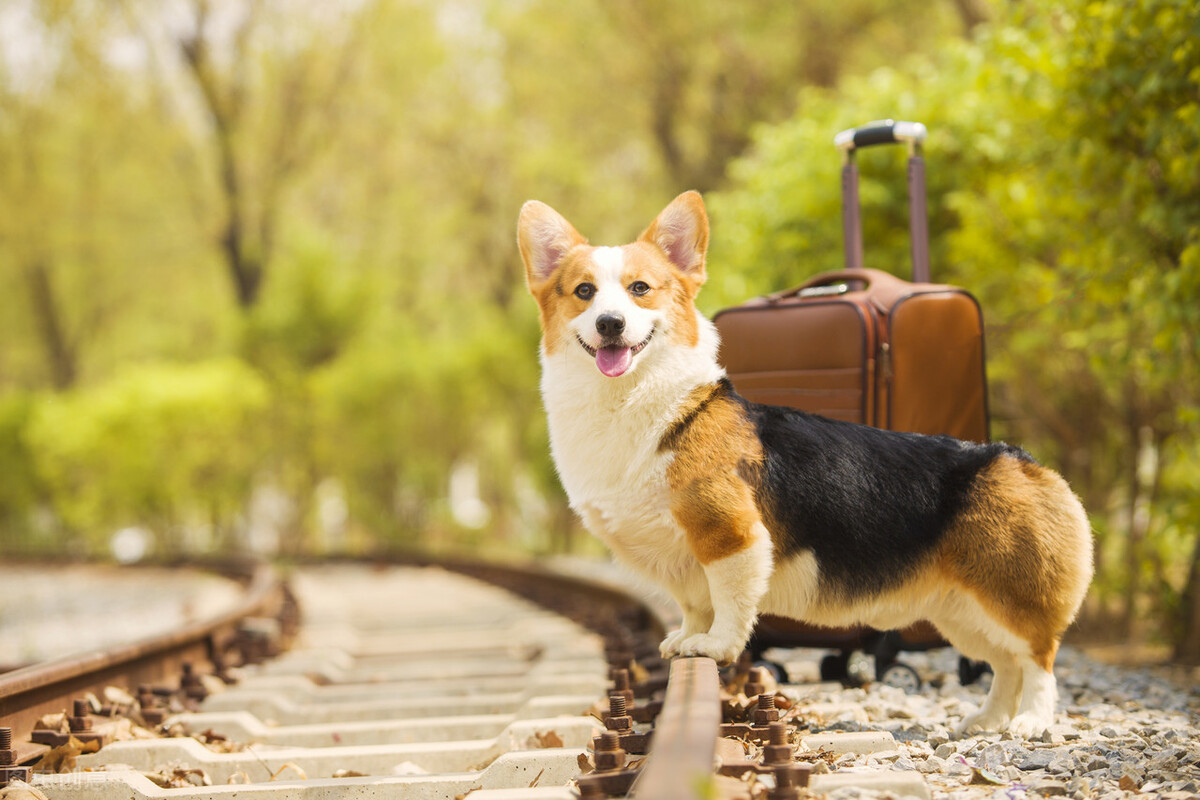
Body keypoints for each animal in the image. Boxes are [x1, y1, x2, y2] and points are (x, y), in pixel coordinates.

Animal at [518, 190, 1099, 734]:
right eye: (584, 292)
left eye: (640, 288)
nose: (610, 324)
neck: (633, 402)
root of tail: (1023, 461)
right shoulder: (686, 562)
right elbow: (695, 604)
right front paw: (686, 638)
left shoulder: (729, 535)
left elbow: (728, 602)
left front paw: (714, 647)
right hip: (961, 611)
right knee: (1005, 664)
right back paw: (987, 719)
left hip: (1010, 597)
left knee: (1038, 660)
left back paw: (1030, 722)